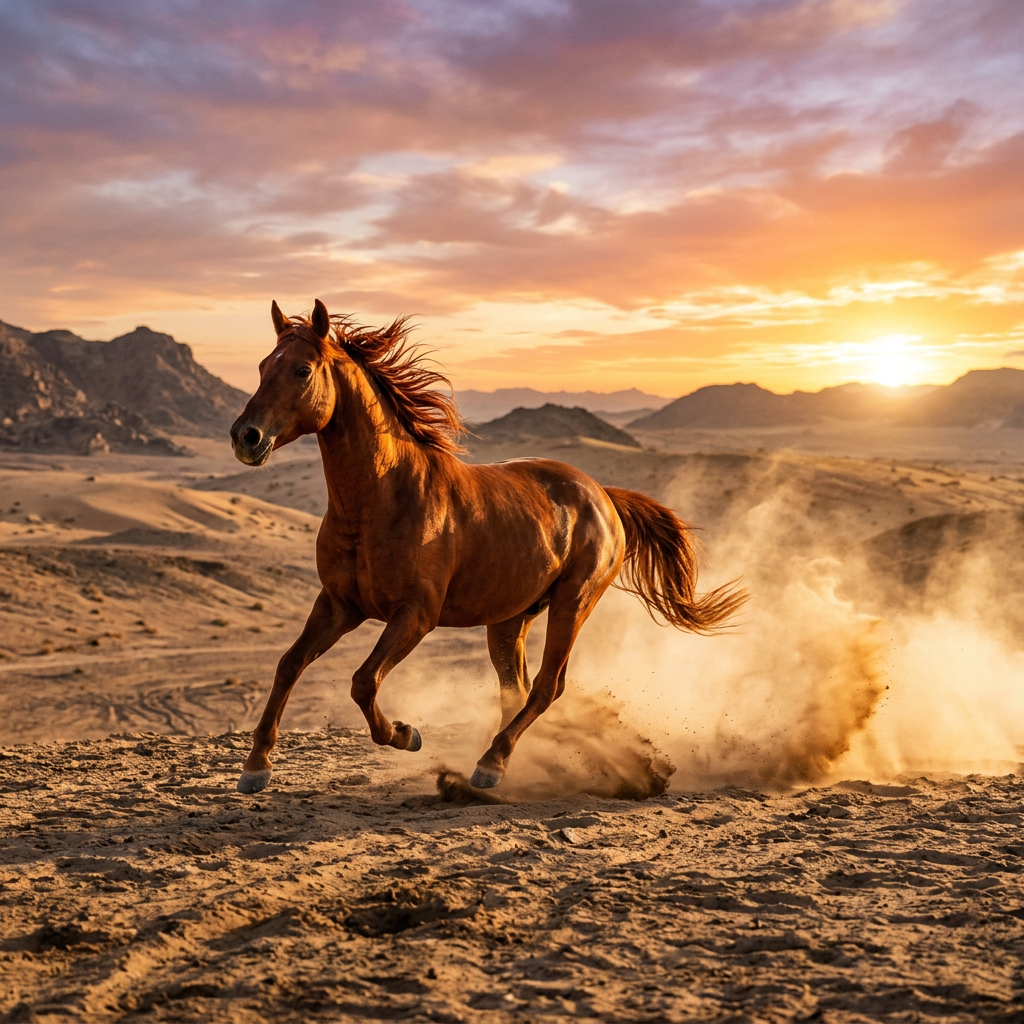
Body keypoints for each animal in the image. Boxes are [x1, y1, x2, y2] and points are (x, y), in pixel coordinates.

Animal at [230, 299, 746, 794]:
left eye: (302, 370)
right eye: (262, 366)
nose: (245, 437)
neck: (383, 497)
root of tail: (603, 496)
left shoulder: (416, 614)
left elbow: (363, 681)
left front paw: (405, 734)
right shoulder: (339, 605)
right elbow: (289, 664)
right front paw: (256, 767)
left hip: (572, 604)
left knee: (546, 686)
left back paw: (490, 765)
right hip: (509, 620)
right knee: (515, 689)